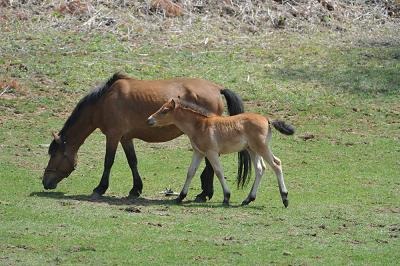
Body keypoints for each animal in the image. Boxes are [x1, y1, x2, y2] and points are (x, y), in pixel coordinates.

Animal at [43, 71, 250, 201]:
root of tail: (217, 87)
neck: (104, 102)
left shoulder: (113, 136)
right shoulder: (125, 138)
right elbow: (132, 162)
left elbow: (108, 162)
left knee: (210, 163)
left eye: (54, 155)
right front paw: (136, 189)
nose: (45, 182)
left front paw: (100, 188)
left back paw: (204, 194)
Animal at [147, 97, 294, 206]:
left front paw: (226, 197)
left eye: (165, 110)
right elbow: (191, 172)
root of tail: (267, 119)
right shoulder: (198, 152)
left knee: (276, 164)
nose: (149, 120)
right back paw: (248, 199)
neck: (200, 125)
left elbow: (218, 172)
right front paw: (180, 197)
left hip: (261, 148)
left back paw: (285, 198)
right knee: (260, 169)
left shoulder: (211, 152)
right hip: (252, 150)